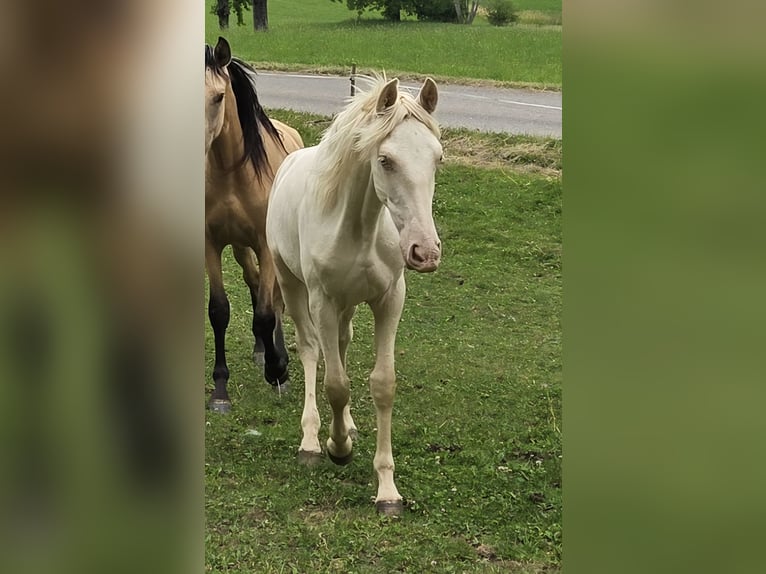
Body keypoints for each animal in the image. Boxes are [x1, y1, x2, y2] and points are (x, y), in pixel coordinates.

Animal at [205, 36, 303, 413]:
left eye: (218, 97)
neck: (233, 173)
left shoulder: (265, 244)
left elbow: (266, 312)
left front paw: (278, 371)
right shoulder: (211, 244)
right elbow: (218, 311)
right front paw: (220, 390)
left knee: (274, 298)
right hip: (240, 248)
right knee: (254, 281)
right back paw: (262, 349)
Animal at [266, 75, 443, 514]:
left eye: (438, 158)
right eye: (386, 160)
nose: (425, 252)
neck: (357, 226)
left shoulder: (389, 300)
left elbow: (382, 384)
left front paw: (387, 489)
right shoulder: (322, 301)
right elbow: (335, 384)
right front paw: (337, 448)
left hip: (347, 306)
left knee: (342, 345)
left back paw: (346, 425)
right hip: (294, 287)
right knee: (311, 351)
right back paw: (312, 440)